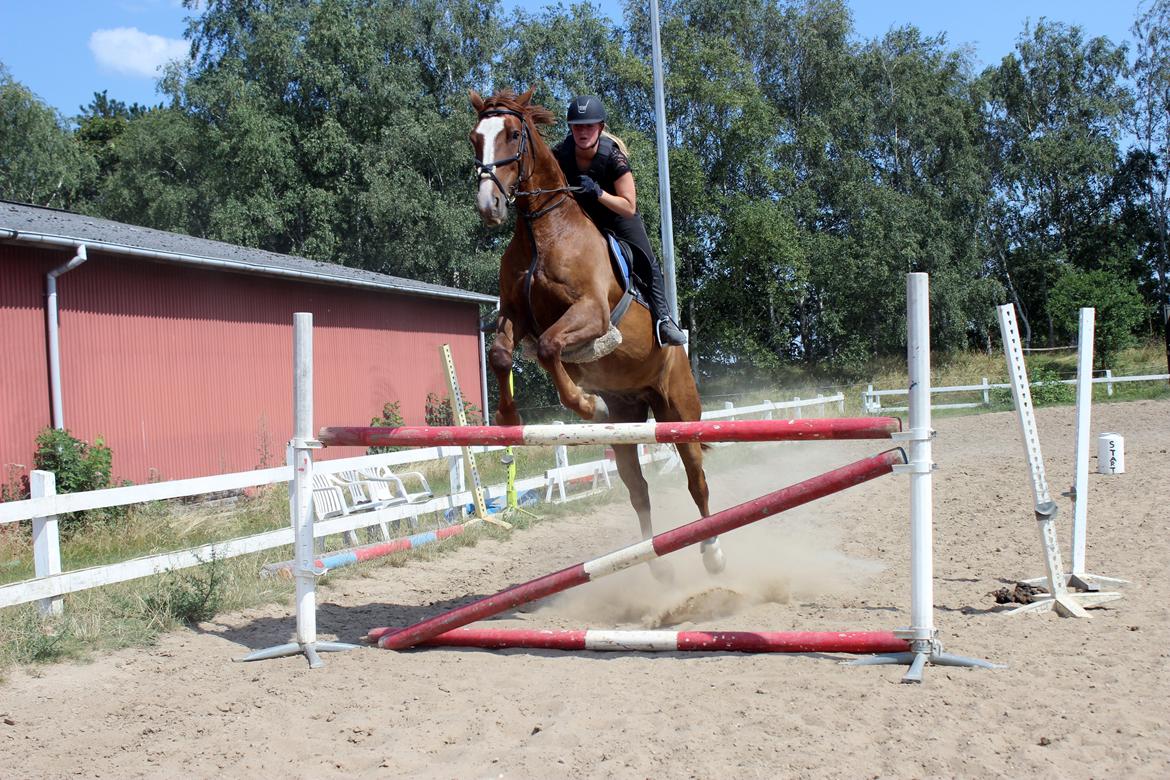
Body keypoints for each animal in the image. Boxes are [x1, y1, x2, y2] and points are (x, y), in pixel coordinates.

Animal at [465, 88, 720, 577]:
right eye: (475, 138)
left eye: (512, 134)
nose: (490, 207)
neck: (542, 231)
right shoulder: (515, 313)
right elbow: (502, 353)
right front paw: (509, 420)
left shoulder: (592, 313)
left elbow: (550, 348)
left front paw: (585, 403)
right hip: (627, 422)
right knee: (638, 489)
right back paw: (653, 564)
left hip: (679, 410)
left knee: (697, 479)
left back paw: (713, 553)